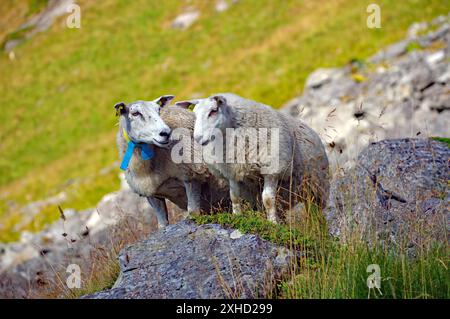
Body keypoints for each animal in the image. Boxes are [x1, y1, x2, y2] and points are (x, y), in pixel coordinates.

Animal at [114, 96, 230, 229]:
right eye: (135, 113)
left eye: (158, 110)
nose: (165, 133)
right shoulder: (151, 194)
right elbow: (162, 224)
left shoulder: (192, 175)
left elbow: (193, 212)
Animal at [188, 92, 328, 224]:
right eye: (195, 114)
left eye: (213, 111)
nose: (198, 138)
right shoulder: (232, 171)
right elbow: (234, 197)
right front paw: (237, 216)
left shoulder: (272, 169)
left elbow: (268, 200)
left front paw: (273, 223)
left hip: (316, 187)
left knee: (315, 211)